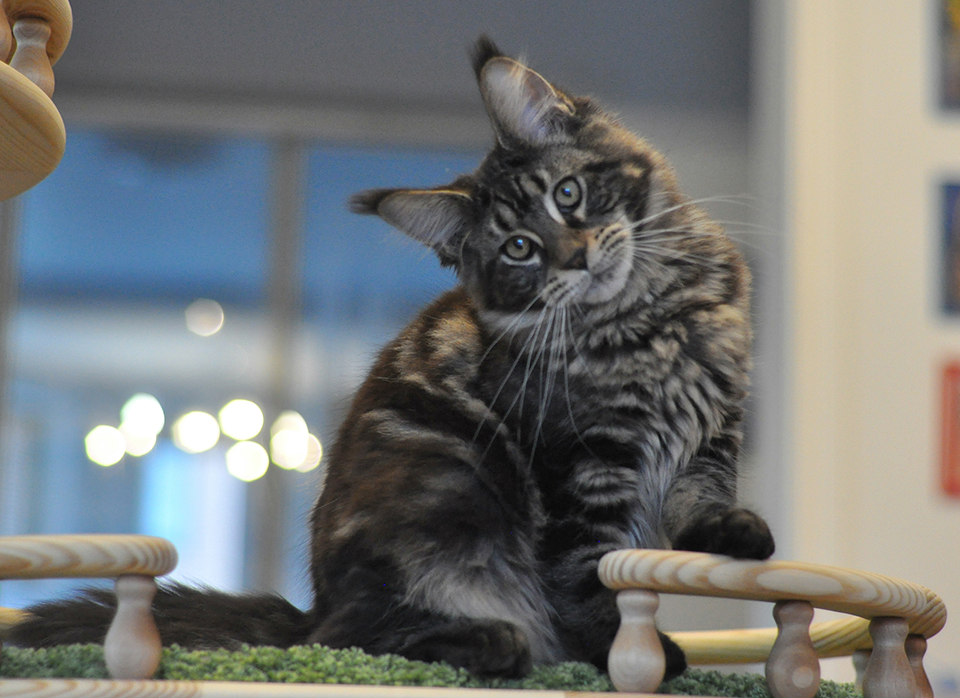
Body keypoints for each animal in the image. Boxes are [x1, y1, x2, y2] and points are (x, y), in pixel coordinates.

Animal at [11, 39, 776, 680]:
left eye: (569, 194)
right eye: (519, 250)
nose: (578, 257)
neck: (653, 320)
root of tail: (310, 607)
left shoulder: (712, 432)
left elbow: (700, 504)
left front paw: (739, 535)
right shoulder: (582, 464)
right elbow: (589, 582)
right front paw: (635, 658)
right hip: (448, 494)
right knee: (351, 639)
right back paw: (495, 643)